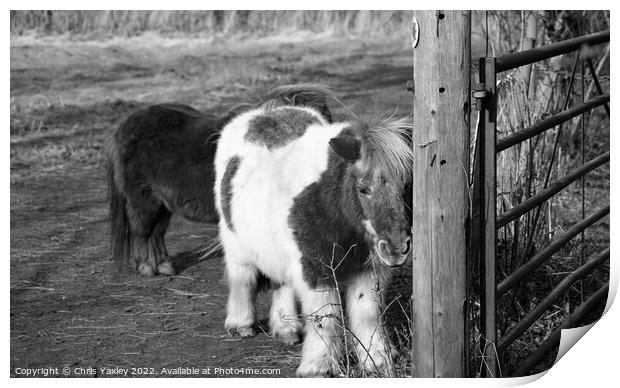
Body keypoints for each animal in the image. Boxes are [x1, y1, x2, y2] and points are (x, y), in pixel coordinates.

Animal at [109, 84, 336, 276]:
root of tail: (126, 127)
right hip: (143, 200)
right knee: (141, 231)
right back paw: (145, 267)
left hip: (162, 204)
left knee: (156, 233)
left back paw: (164, 267)